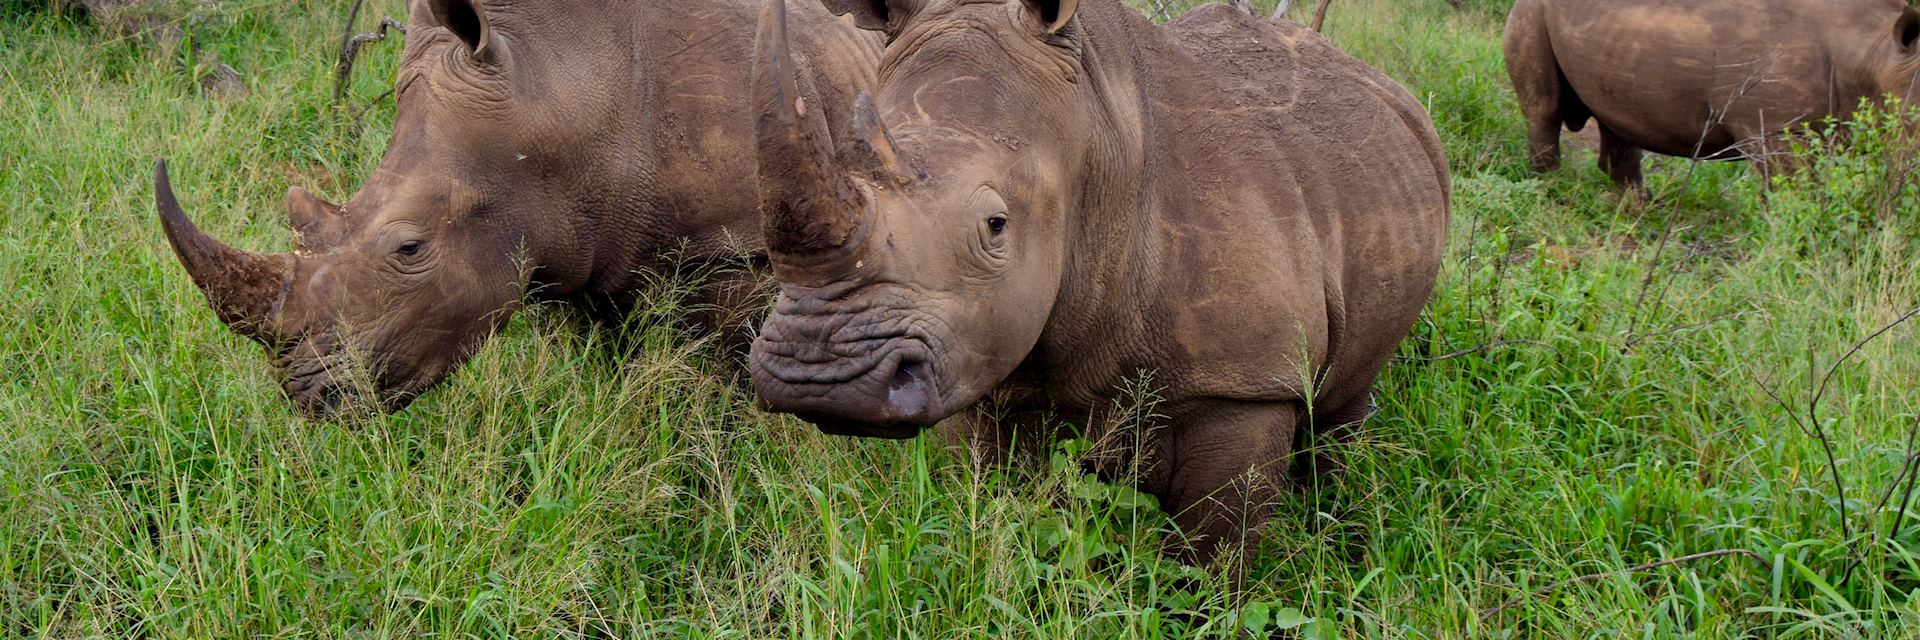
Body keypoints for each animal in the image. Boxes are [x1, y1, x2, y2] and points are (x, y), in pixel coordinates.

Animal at [157, 0, 879, 413]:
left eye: (410, 247)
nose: (307, 395)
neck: (556, 84)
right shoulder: (570, 243)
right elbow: (611, 362)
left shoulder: (731, 244)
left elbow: (734, 373)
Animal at [741, 0, 1443, 561]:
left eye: (996, 225)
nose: (818, 376)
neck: (1094, 139)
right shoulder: (979, 359)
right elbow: (1004, 510)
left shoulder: (1245, 383)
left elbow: (1216, 554)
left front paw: (1212, 605)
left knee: (1344, 401)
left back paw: (1337, 528)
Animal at [1505, 0, 1912, 189]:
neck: (1873, 49)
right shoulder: (1774, 129)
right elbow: (1792, 191)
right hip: (1533, 9)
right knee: (1545, 108)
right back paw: (1552, 186)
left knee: (1614, 115)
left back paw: (1636, 207)